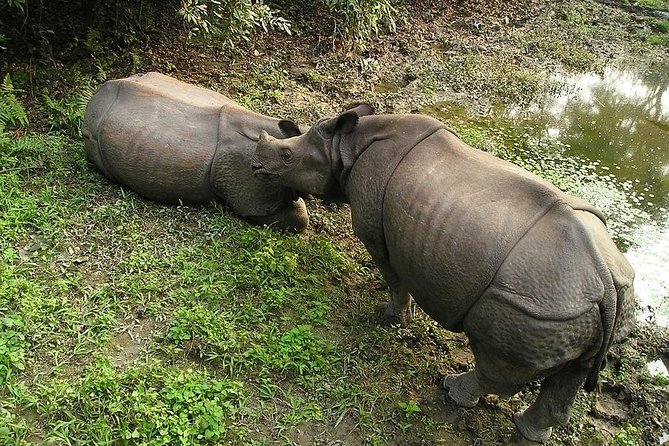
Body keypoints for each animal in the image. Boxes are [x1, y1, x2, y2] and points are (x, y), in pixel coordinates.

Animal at [251, 104, 637, 442]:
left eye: (286, 156)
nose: (256, 164)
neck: (345, 147)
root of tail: (604, 281)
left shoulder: (375, 232)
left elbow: (394, 278)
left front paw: (390, 319)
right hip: (587, 304)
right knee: (572, 374)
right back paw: (528, 432)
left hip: (535, 304)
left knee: (498, 367)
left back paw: (452, 390)